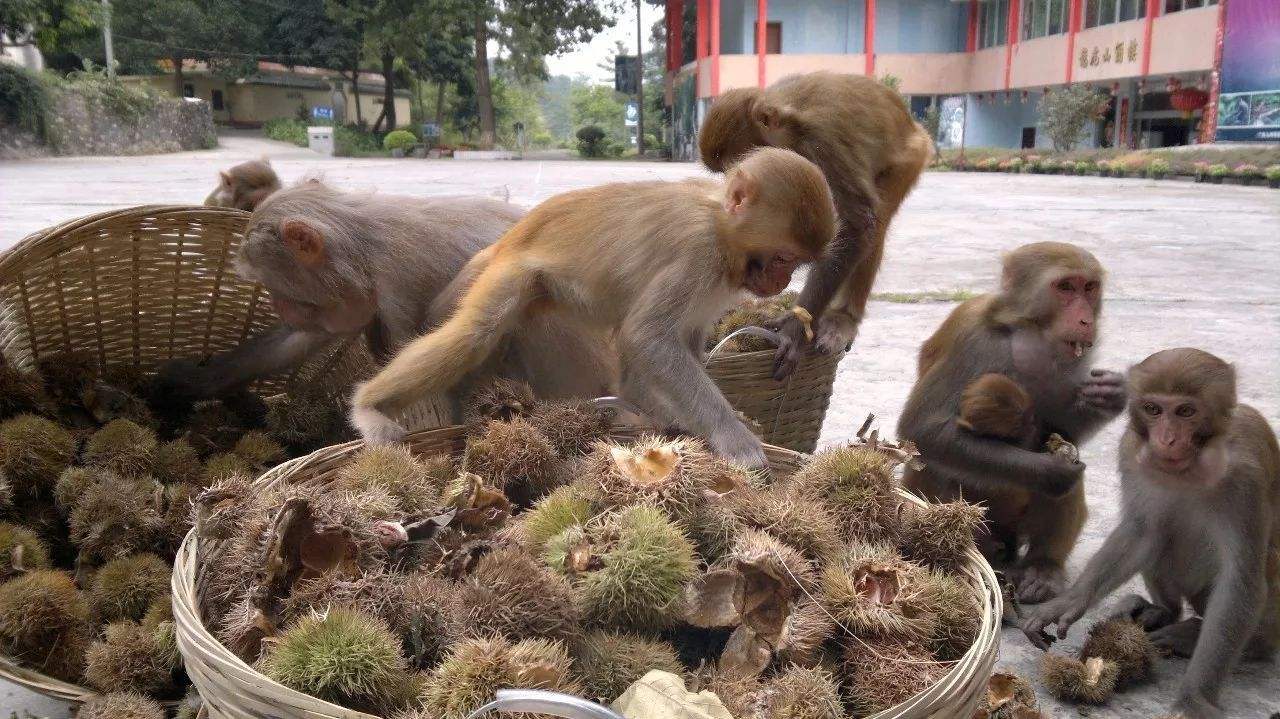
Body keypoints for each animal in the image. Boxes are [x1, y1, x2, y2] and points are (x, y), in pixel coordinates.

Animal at [154, 180, 614, 409]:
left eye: (276, 288)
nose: (278, 305)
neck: (365, 248)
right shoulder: (343, 302)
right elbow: (299, 340)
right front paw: (189, 381)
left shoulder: (398, 285)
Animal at [350, 148, 834, 468]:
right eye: (782, 258)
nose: (781, 282)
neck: (721, 226)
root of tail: (511, 237)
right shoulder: (697, 253)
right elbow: (648, 336)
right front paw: (732, 437)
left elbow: (680, 337)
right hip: (512, 272)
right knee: (474, 333)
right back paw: (367, 408)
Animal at [696, 70, 936, 378]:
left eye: (748, 158)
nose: (739, 183)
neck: (788, 123)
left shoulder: (821, 145)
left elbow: (857, 227)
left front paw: (796, 327)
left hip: (910, 158)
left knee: (877, 221)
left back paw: (843, 318)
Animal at [896, 243, 1126, 601]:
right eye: (1065, 287)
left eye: (1089, 288)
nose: (1086, 319)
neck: (1030, 331)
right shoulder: (973, 341)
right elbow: (923, 431)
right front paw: (1051, 471)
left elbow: (1060, 431)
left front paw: (1111, 397)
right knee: (935, 465)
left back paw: (1043, 567)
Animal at [1018, 345, 1280, 711]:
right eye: (1153, 409)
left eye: (1186, 411)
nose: (1166, 440)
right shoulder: (1131, 450)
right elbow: (1141, 530)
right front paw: (1069, 601)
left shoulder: (1247, 477)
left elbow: (1241, 578)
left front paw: (1193, 698)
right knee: (1161, 536)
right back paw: (1160, 611)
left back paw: (1207, 637)